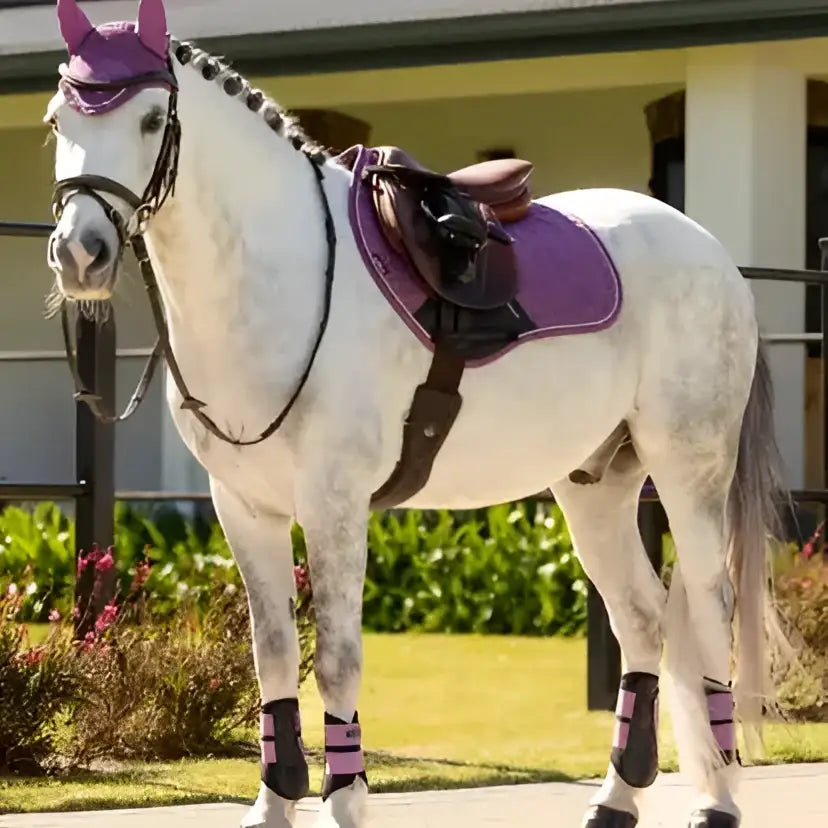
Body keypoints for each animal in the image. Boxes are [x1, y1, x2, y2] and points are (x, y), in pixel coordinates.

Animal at [45, 1, 786, 826]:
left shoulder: (334, 504)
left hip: (690, 470)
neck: (284, 274)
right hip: (597, 484)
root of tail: (716, 258)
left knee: (712, 614)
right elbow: (273, 655)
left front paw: (345, 801)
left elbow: (336, 662)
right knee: (645, 619)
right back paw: (617, 796)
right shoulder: (242, 507)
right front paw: (275, 802)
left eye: (150, 119)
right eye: (57, 121)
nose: (80, 253)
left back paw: (717, 799)